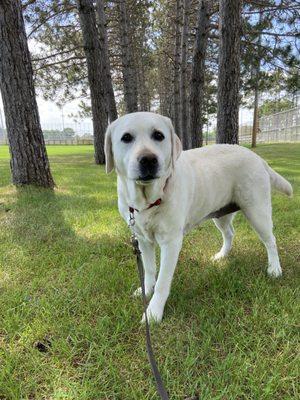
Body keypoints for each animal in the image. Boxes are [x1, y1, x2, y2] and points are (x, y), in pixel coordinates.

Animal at [104, 111, 292, 322]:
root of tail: (258, 158)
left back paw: (274, 269)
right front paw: (145, 291)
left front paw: (153, 312)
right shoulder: (142, 239)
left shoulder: (171, 242)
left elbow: (163, 281)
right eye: (126, 137)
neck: (148, 201)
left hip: (257, 211)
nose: (148, 159)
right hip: (221, 214)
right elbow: (150, 270)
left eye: (158, 136)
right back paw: (222, 256)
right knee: (230, 233)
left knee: (271, 241)